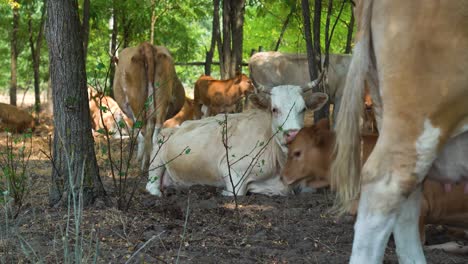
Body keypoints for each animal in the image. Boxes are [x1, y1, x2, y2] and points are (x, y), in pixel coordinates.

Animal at [113, 40, 185, 169]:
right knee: (156, 130)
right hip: (163, 96)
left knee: (143, 130)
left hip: (136, 102)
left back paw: (143, 164)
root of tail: (146, 45)